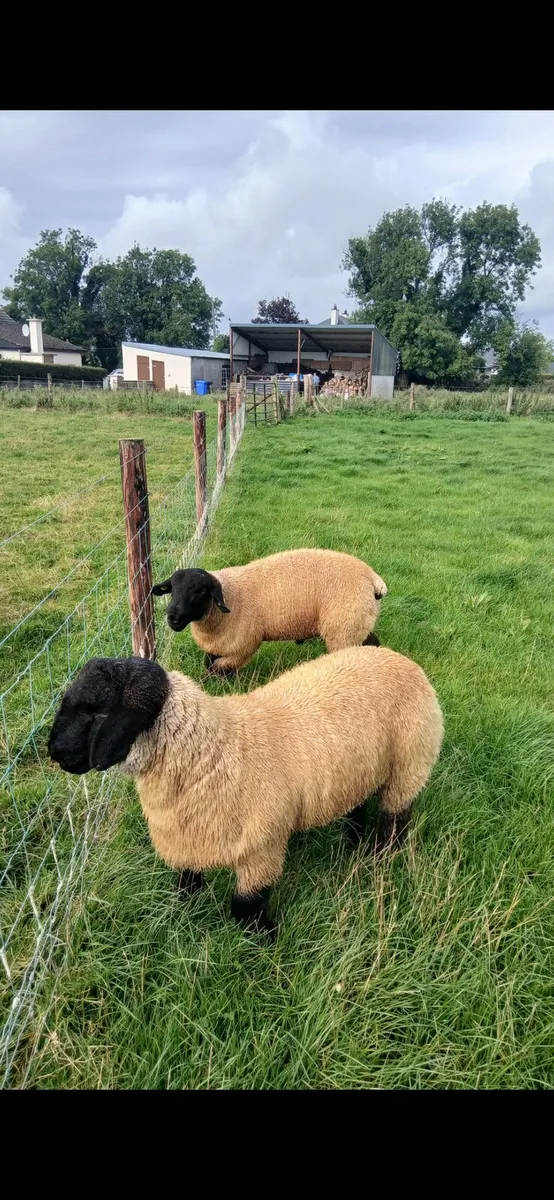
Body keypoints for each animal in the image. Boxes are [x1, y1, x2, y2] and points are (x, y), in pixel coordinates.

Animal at [48, 645, 443, 939]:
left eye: (98, 713)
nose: (55, 752)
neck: (214, 751)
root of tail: (399, 658)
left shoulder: (260, 849)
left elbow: (244, 905)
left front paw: (265, 939)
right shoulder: (188, 838)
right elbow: (187, 882)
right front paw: (184, 910)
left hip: (409, 764)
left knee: (396, 816)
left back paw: (382, 855)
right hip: (354, 771)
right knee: (357, 805)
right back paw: (353, 842)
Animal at [152, 547, 388, 675]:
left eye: (201, 591)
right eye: (172, 589)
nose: (172, 617)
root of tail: (373, 579)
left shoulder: (243, 647)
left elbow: (221, 669)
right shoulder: (217, 646)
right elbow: (209, 665)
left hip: (344, 628)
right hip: (358, 623)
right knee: (372, 643)